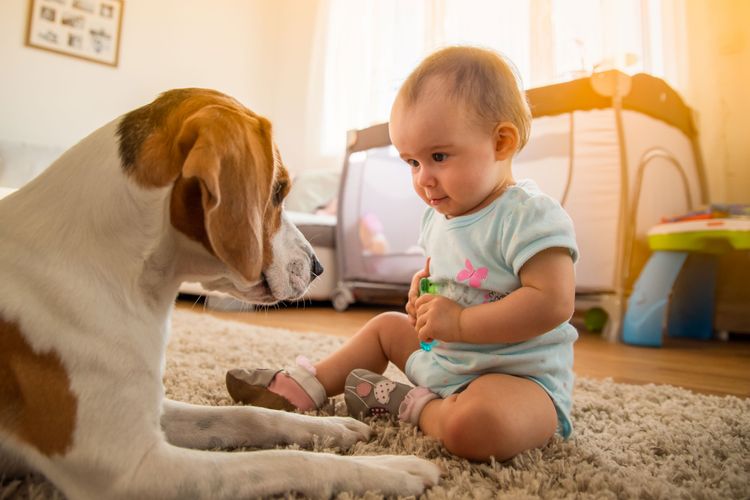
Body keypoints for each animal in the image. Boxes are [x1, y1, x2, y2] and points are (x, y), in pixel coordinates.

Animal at [0, 90, 444, 500]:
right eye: (278, 191)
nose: (318, 267)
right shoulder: (134, 471)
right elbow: (283, 460)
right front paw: (389, 468)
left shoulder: (155, 412)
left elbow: (250, 417)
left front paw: (327, 427)